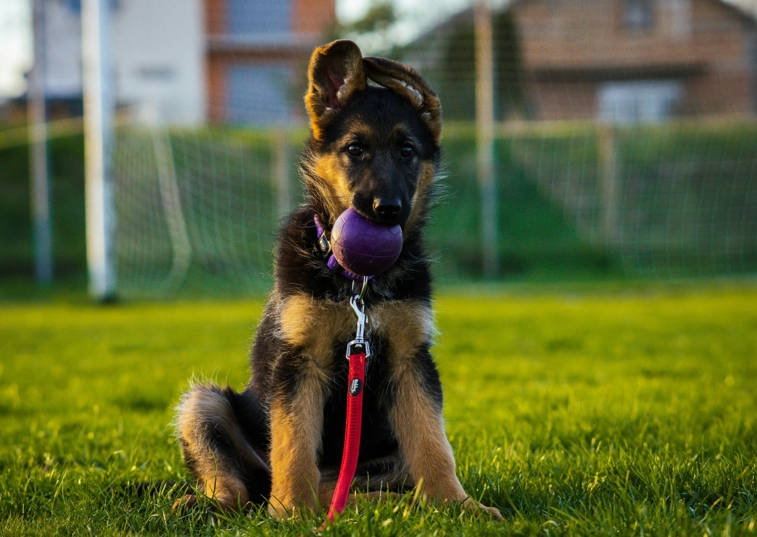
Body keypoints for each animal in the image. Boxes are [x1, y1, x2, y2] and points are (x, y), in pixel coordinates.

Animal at [173, 40, 500, 520]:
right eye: (355, 149)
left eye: (407, 151)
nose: (387, 209)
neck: (358, 283)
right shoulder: (300, 361)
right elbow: (293, 444)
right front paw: (291, 512)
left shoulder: (410, 359)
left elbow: (433, 443)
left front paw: (457, 505)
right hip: (204, 405)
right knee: (241, 488)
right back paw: (212, 502)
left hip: (386, 457)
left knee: (359, 485)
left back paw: (381, 504)